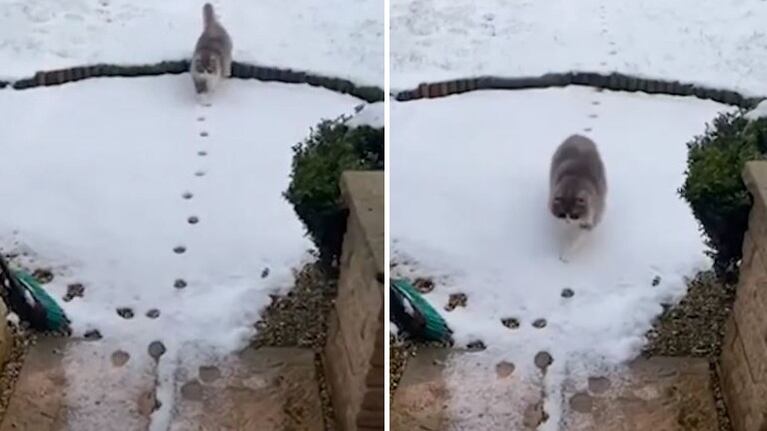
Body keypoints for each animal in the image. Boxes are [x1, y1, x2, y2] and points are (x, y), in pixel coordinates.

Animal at [548, 135, 608, 264]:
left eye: (574, 215)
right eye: (562, 214)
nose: (567, 221)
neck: (574, 183)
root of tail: (579, 136)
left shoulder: (593, 214)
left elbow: (578, 239)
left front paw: (566, 254)